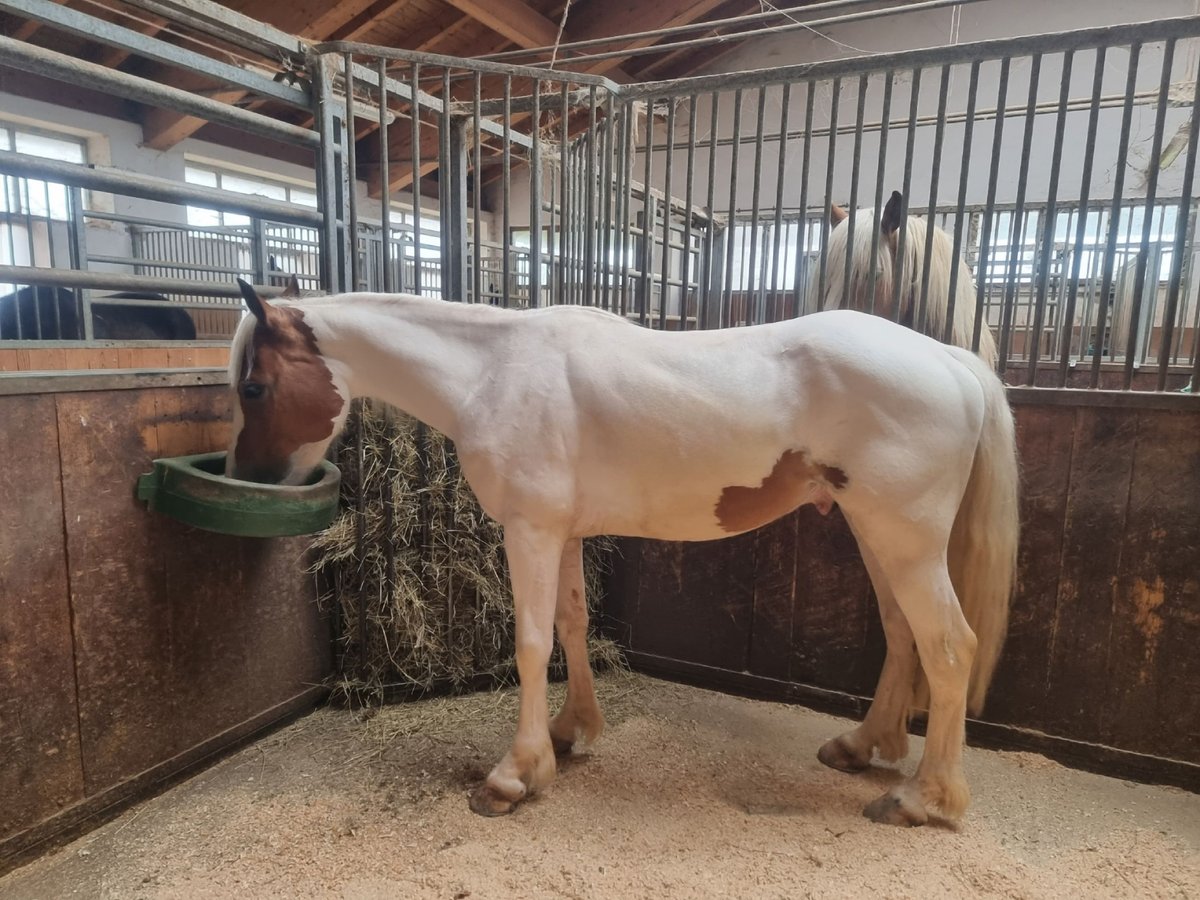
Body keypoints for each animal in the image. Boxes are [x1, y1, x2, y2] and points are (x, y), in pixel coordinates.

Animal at [226, 277, 1019, 827]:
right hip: (875, 534)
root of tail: (948, 359)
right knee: (903, 634)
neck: (494, 371)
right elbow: (572, 627)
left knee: (950, 648)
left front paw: (514, 776)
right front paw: (571, 732)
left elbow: (530, 642)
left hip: (905, 541)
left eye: (255, 385)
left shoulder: (530, 530)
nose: (250, 478)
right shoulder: (564, 533)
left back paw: (926, 800)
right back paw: (864, 748)